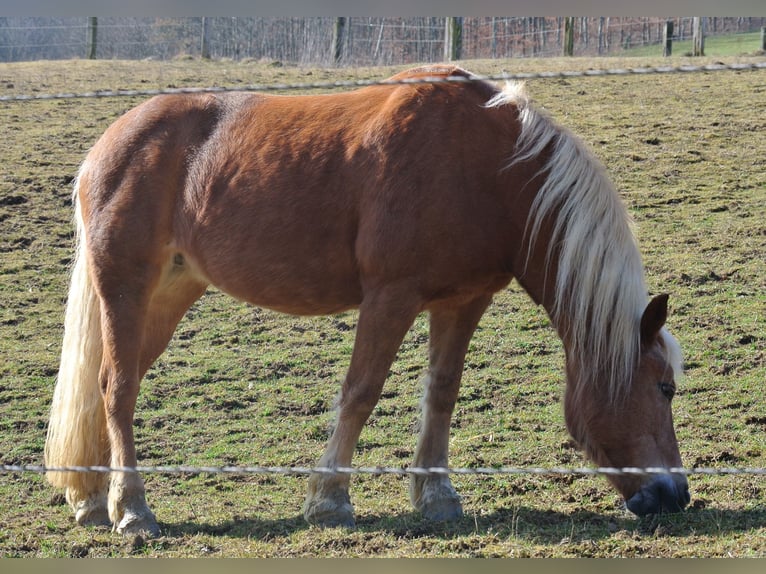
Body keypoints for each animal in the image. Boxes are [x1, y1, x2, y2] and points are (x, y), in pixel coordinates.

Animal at [45, 65, 692, 536]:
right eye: (664, 387)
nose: (676, 494)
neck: (489, 168)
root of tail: (107, 147)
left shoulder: (464, 300)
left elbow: (442, 392)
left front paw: (437, 494)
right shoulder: (391, 296)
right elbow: (361, 392)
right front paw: (330, 498)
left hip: (167, 295)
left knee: (106, 386)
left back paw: (93, 499)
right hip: (125, 288)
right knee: (118, 389)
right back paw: (133, 510)